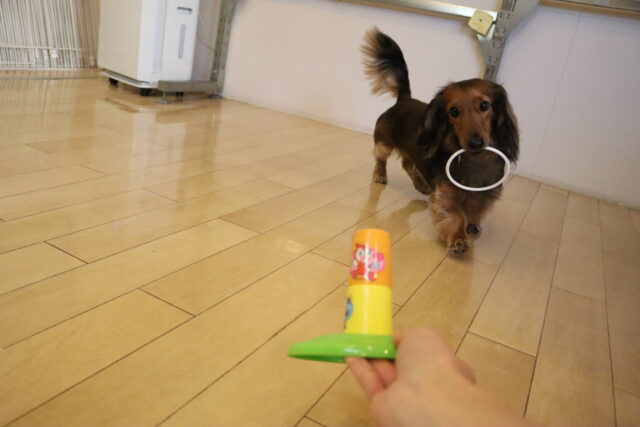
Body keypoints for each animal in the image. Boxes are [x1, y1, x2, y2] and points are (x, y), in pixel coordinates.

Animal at [361, 28, 519, 255]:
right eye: (453, 111)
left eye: (484, 105)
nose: (475, 142)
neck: (474, 161)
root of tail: (404, 99)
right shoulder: (446, 193)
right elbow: (457, 215)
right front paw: (458, 240)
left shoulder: (487, 192)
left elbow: (476, 210)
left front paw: (473, 226)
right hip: (383, 143)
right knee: (381, 159)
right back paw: (380, 175)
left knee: (408, 163)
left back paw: (421, 185)